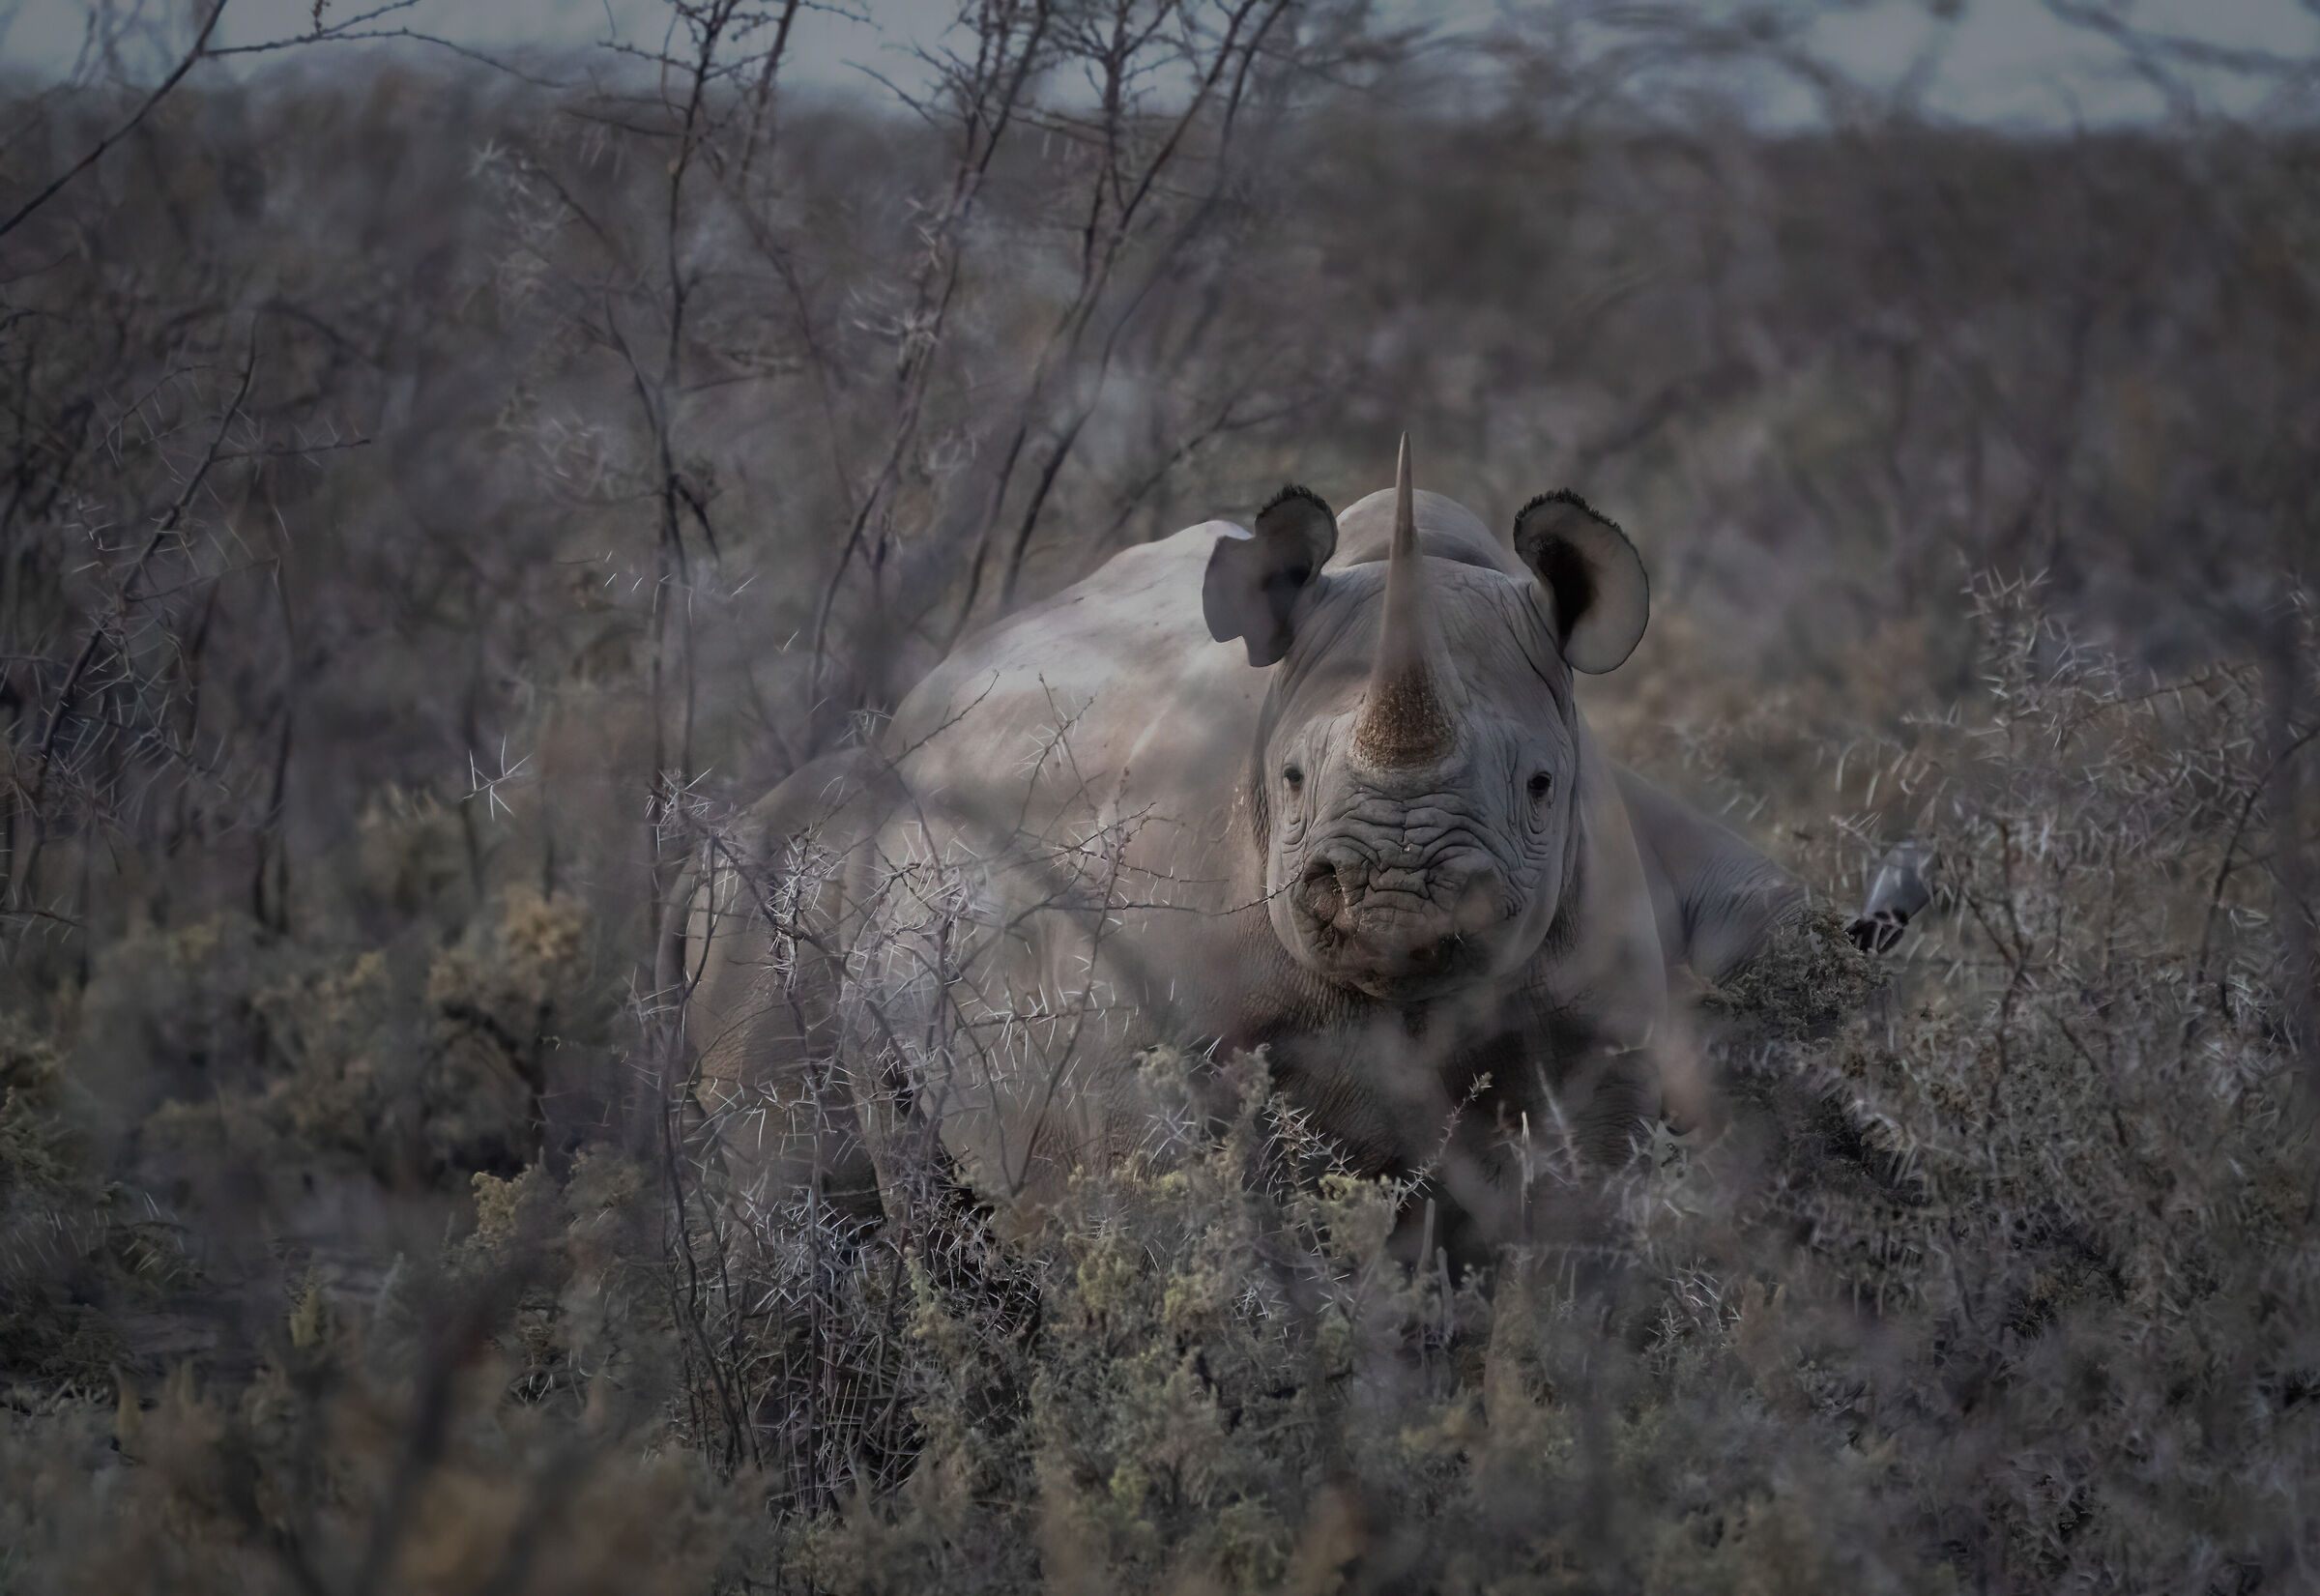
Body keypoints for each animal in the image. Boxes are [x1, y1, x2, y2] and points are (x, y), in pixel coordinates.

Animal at [679, 443, 1807, 1260]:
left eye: (1538, 786)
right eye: (1293, 780)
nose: (1395, 890)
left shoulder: (1600, 1039)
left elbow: (1559, 1259)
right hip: (828, 872)